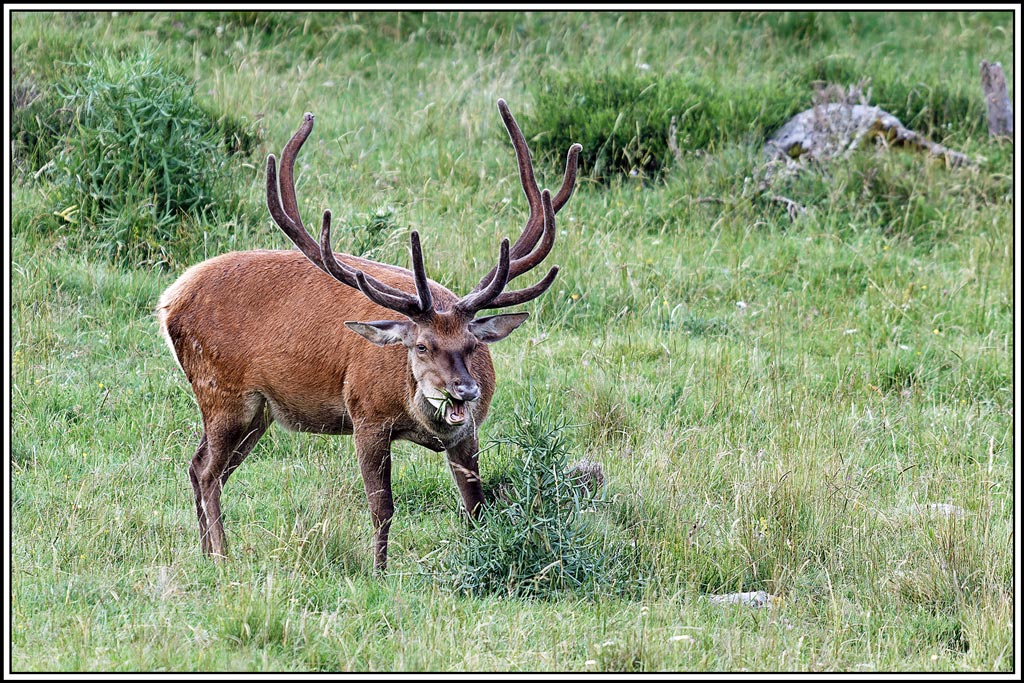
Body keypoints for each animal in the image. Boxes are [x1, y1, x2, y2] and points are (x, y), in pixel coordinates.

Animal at [157, 100, 582, 572]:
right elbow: (382, 507)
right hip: (222, 391)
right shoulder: (367, 417)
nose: (465, 390)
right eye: (421, 346)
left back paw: (204, 553)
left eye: (472, 346)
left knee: (198, 466)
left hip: (257, 411)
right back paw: (222, 556)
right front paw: (379, 571)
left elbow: (476, 506)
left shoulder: (468, 432)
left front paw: (480, 557)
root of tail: (170, 300)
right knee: (209, 472)